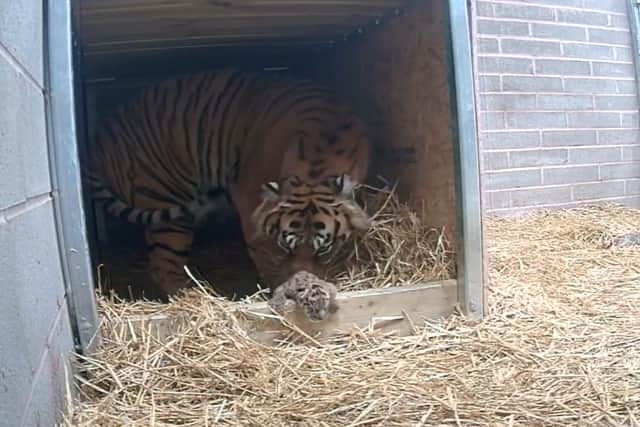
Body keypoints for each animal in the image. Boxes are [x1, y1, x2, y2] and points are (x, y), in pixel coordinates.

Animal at [87, 68, 371, 297]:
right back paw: (194, 296)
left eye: (322, 250)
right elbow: (264, 255)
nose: (300, 285)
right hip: (163, 200)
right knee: (163, 264)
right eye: (285, 248)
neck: (318, 164)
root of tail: (98, 140)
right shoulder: (250, 205)